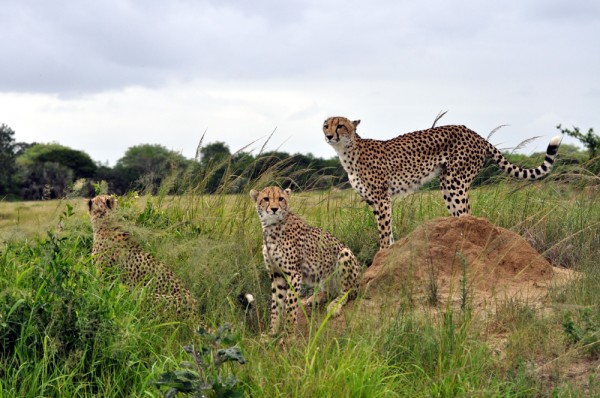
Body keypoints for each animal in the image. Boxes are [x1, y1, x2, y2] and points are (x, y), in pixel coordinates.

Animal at [250, 187, 360, 336]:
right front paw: (272, 332)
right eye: (266, 199)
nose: (274, 209)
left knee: (347, 293)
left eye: (281, 199)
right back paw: (314, 298)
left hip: (344, 253)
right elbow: (276, 305)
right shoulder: (276, 274)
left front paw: (289, 332)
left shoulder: (293, 273)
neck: (271, 226)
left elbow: (290, 304)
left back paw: (334, 305)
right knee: (330, 291)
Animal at [324, 115, 564, 250]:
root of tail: (473, 132)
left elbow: (384, 231)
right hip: (450, 185)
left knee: (467, 214)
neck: (348, 151)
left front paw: (382, 254)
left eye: (340, 126)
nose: (328, 135)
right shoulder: (375, 201)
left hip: (454, 181)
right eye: (326, 125)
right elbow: (388, 231)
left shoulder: (382, 199)